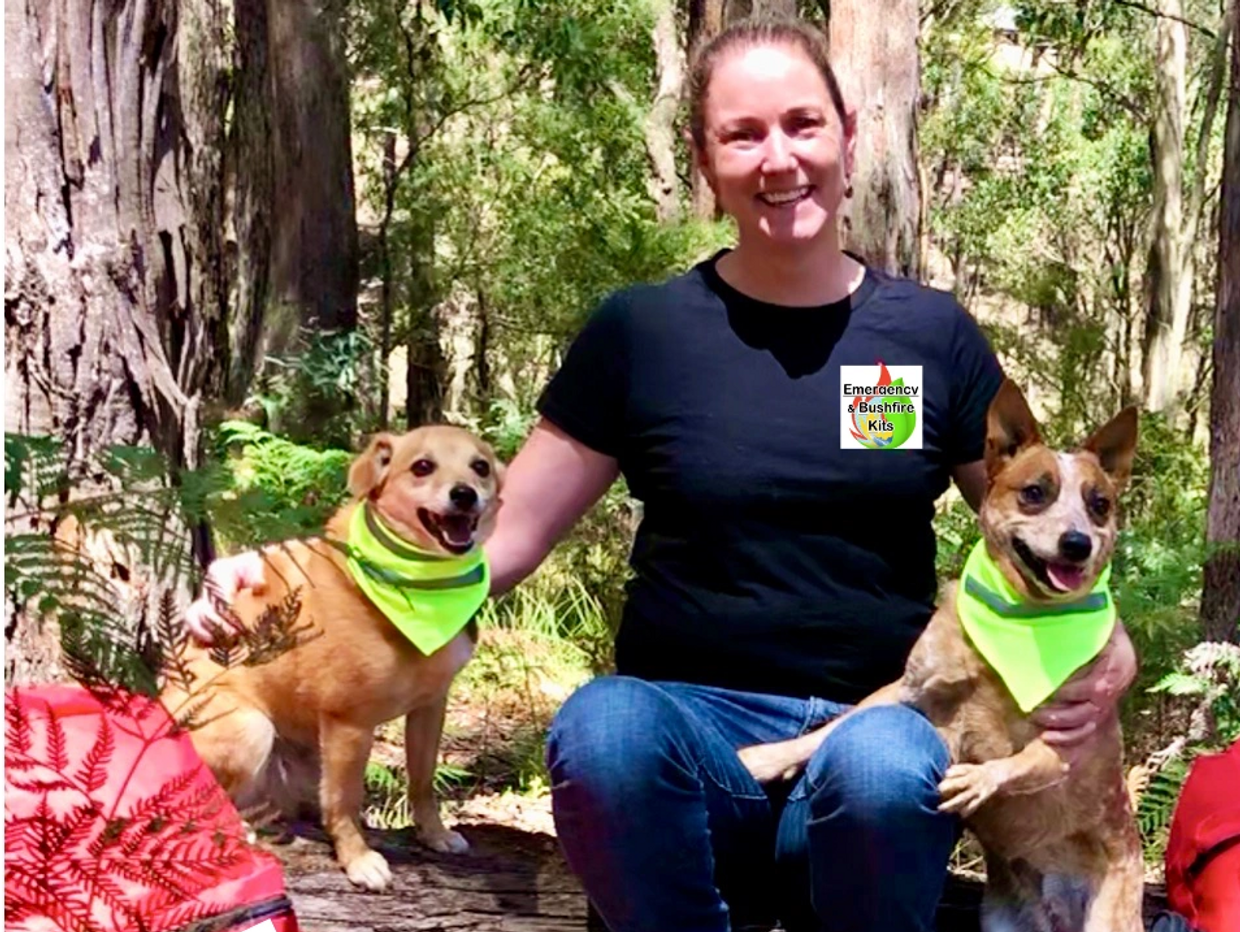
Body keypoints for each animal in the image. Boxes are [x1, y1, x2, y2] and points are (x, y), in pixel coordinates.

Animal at [164, 426, 503, 892]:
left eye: (481, 466)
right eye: (422, 466)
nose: (465, 494)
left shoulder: (430, 708)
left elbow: (422, 780)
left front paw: (433, 833)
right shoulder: (349, 722)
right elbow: (345, 801)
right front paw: (358, 860)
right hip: (250, 726)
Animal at [734, 379, 1140, 931]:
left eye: (1099, 504)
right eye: (1035, 492)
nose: (1077, 543)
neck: (1018, 624)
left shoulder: (1072, 738)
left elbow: (1026, 761)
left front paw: (979, 778)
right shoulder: (906, 690)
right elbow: (829, 730)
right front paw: (765, 758)